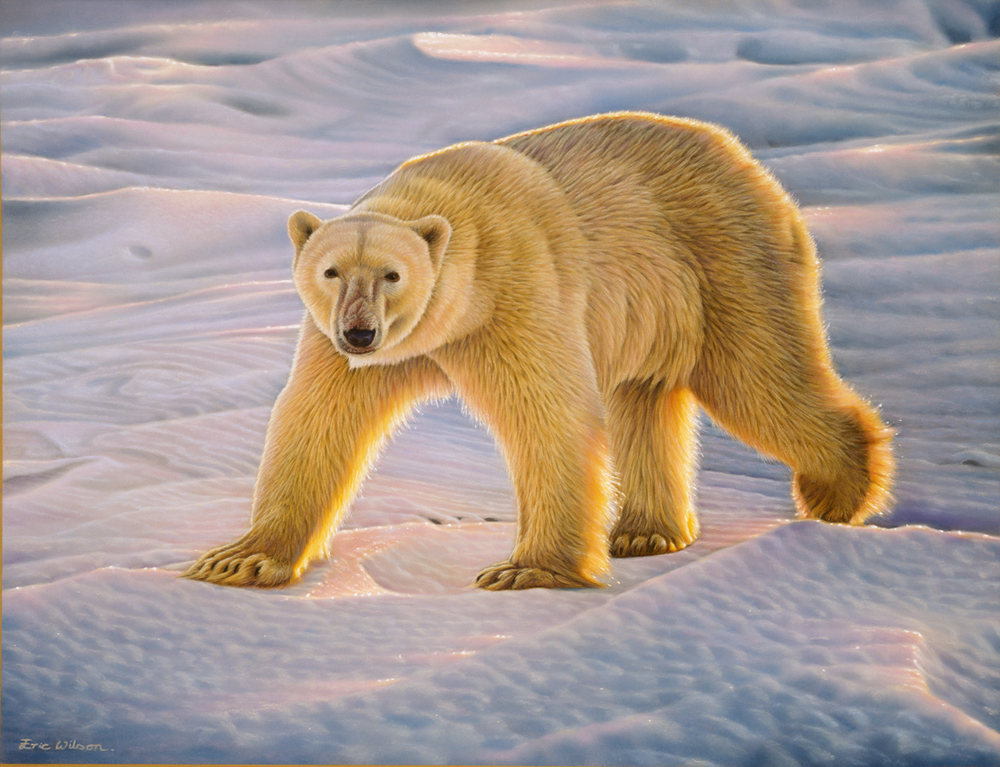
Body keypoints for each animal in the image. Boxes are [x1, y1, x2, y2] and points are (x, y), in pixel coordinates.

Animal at [184, 111, 894, 591]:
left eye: (393, 274)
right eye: (331, 271)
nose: (359, 334)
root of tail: (740, 153)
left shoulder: (515, 293)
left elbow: (546, 411)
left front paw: (528, 571)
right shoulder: (350, 348)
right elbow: (317, 420)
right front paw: (239, 558)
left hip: (722, 259)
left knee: (758, 379)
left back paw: (838, 490)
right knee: (644, 400)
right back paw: (645, 530)